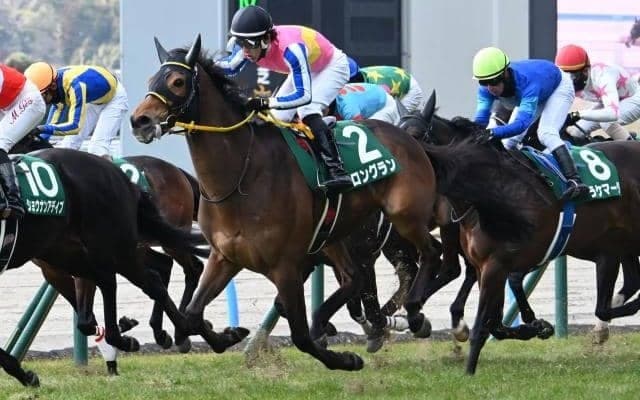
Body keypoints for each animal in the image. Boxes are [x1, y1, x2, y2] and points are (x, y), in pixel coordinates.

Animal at [0, 148, 206, 386]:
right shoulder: (53, 270)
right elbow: (85, 318)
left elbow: (86, 314)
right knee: (158, 269)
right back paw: (163, 332)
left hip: (123, 246)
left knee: (182, 270)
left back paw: (178, 332)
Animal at [130, 34, 440, 370]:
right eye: (151, 79)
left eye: (177, 81)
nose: (139, 121)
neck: (242, 177)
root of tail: (408, 137)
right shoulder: (224, 257)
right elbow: (192, 316)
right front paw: (230, 334)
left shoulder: (287, 267)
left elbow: (301, 336)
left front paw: (345, 358)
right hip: (335, 236)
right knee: (355, 277)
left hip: (404, 216)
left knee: (430, 253)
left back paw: (413, 313)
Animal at [401, 96, 640, 345]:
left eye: (417, 135)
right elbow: (498, 306)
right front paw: (534, 324)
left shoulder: (538, 247)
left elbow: (508, 283)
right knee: (631, 281)